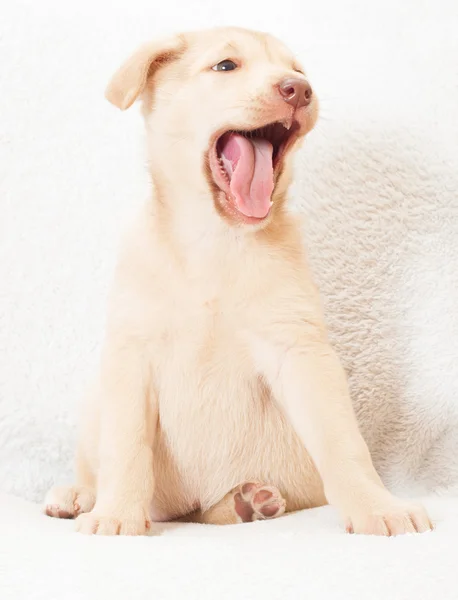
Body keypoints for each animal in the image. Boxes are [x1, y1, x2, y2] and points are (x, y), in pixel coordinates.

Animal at [43, 25, 432, 536]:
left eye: (299, 71)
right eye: (226, 66)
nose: (298, 90)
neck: (217, 241)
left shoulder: (300, 352)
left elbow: (343, 443)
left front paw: (377, 506)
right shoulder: (131, 355)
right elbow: (125, 448)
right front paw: (117, 514)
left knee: (214, 512)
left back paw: (251, 501)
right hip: (98, 401)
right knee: (99, 465)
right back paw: (80, 496)